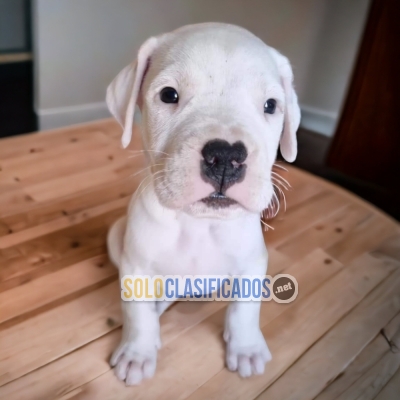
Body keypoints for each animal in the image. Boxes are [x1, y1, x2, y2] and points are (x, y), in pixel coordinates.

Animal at [106, 21, 300, 384]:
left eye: (270, 105)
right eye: (169, 95)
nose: (225, 157)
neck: (197, 224)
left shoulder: (252, 265)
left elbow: (244, 310)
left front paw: (246, 348)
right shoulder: (135, 268)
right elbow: (137, 312)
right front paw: (138, 351)